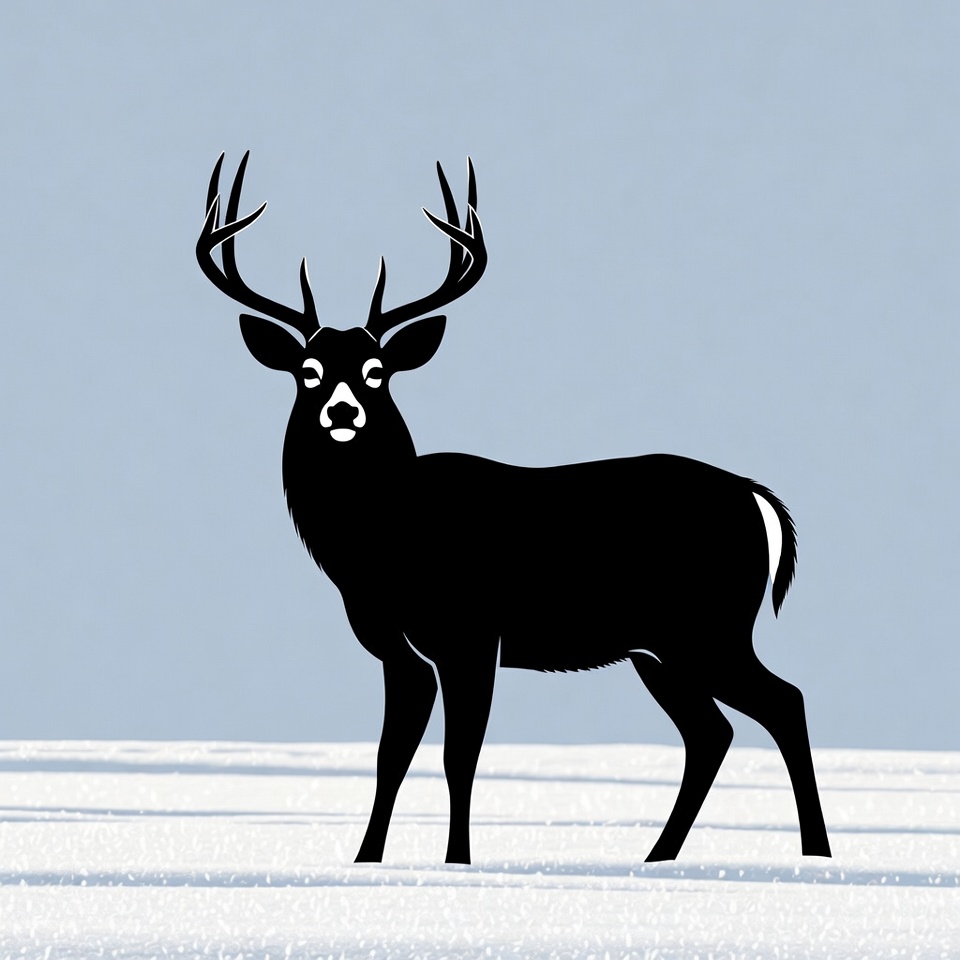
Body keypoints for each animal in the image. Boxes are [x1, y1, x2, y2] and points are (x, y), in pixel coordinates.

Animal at [196, 152, 832, 865]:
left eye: (376, 371)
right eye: (307, 370)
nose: (342, 413)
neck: (386, 541)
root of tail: (758, 497)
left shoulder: (472, 631)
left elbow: (459, 757)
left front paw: (457, 862)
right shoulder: (396, 648)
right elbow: (391, 756)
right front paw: (366, 860)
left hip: (710, 626)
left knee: (783, 702)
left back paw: (815, 853)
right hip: (659, 647)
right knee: (712, 731)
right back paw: (659, 857)